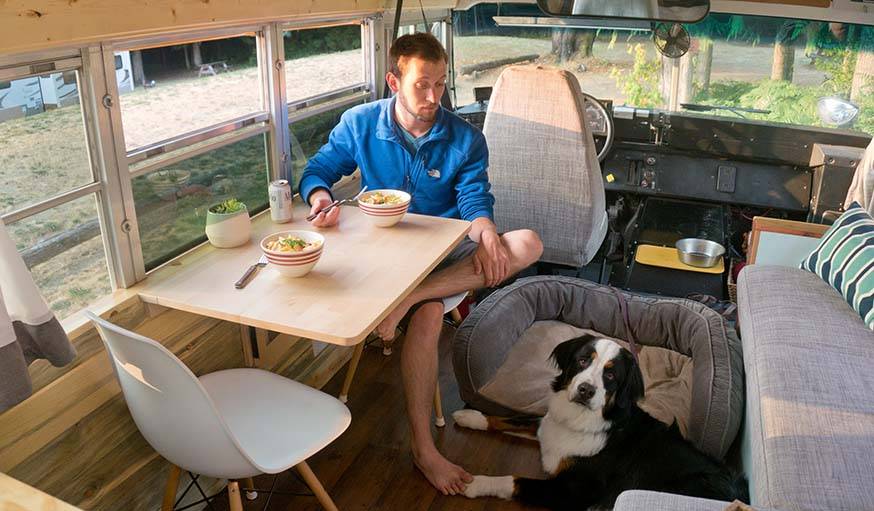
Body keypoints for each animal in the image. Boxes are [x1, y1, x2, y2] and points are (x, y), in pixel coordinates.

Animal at [454, 336, 744, 511]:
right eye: (583, 360)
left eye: (611, 374)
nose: (585, 390)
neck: (581, 419)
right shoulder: (547, 425)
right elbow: (511, 418)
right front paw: (471, 417)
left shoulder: (576, 489)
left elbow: (515, 479)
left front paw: (475, 483)